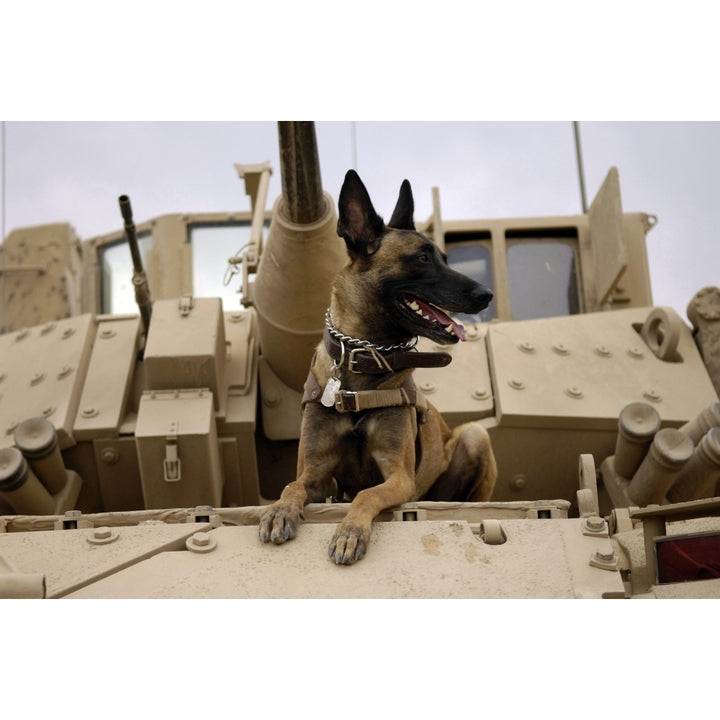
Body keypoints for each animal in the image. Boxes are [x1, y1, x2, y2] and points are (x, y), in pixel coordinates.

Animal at [260, 169, 500, 564]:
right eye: (422, 258)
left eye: (444, 257)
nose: (486, 294)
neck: (362, 362)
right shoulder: (316, 474)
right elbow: (292, 485)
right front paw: (280, 511)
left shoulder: (398, 477)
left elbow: (366, 493)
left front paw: (350, 532)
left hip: (474, 436)